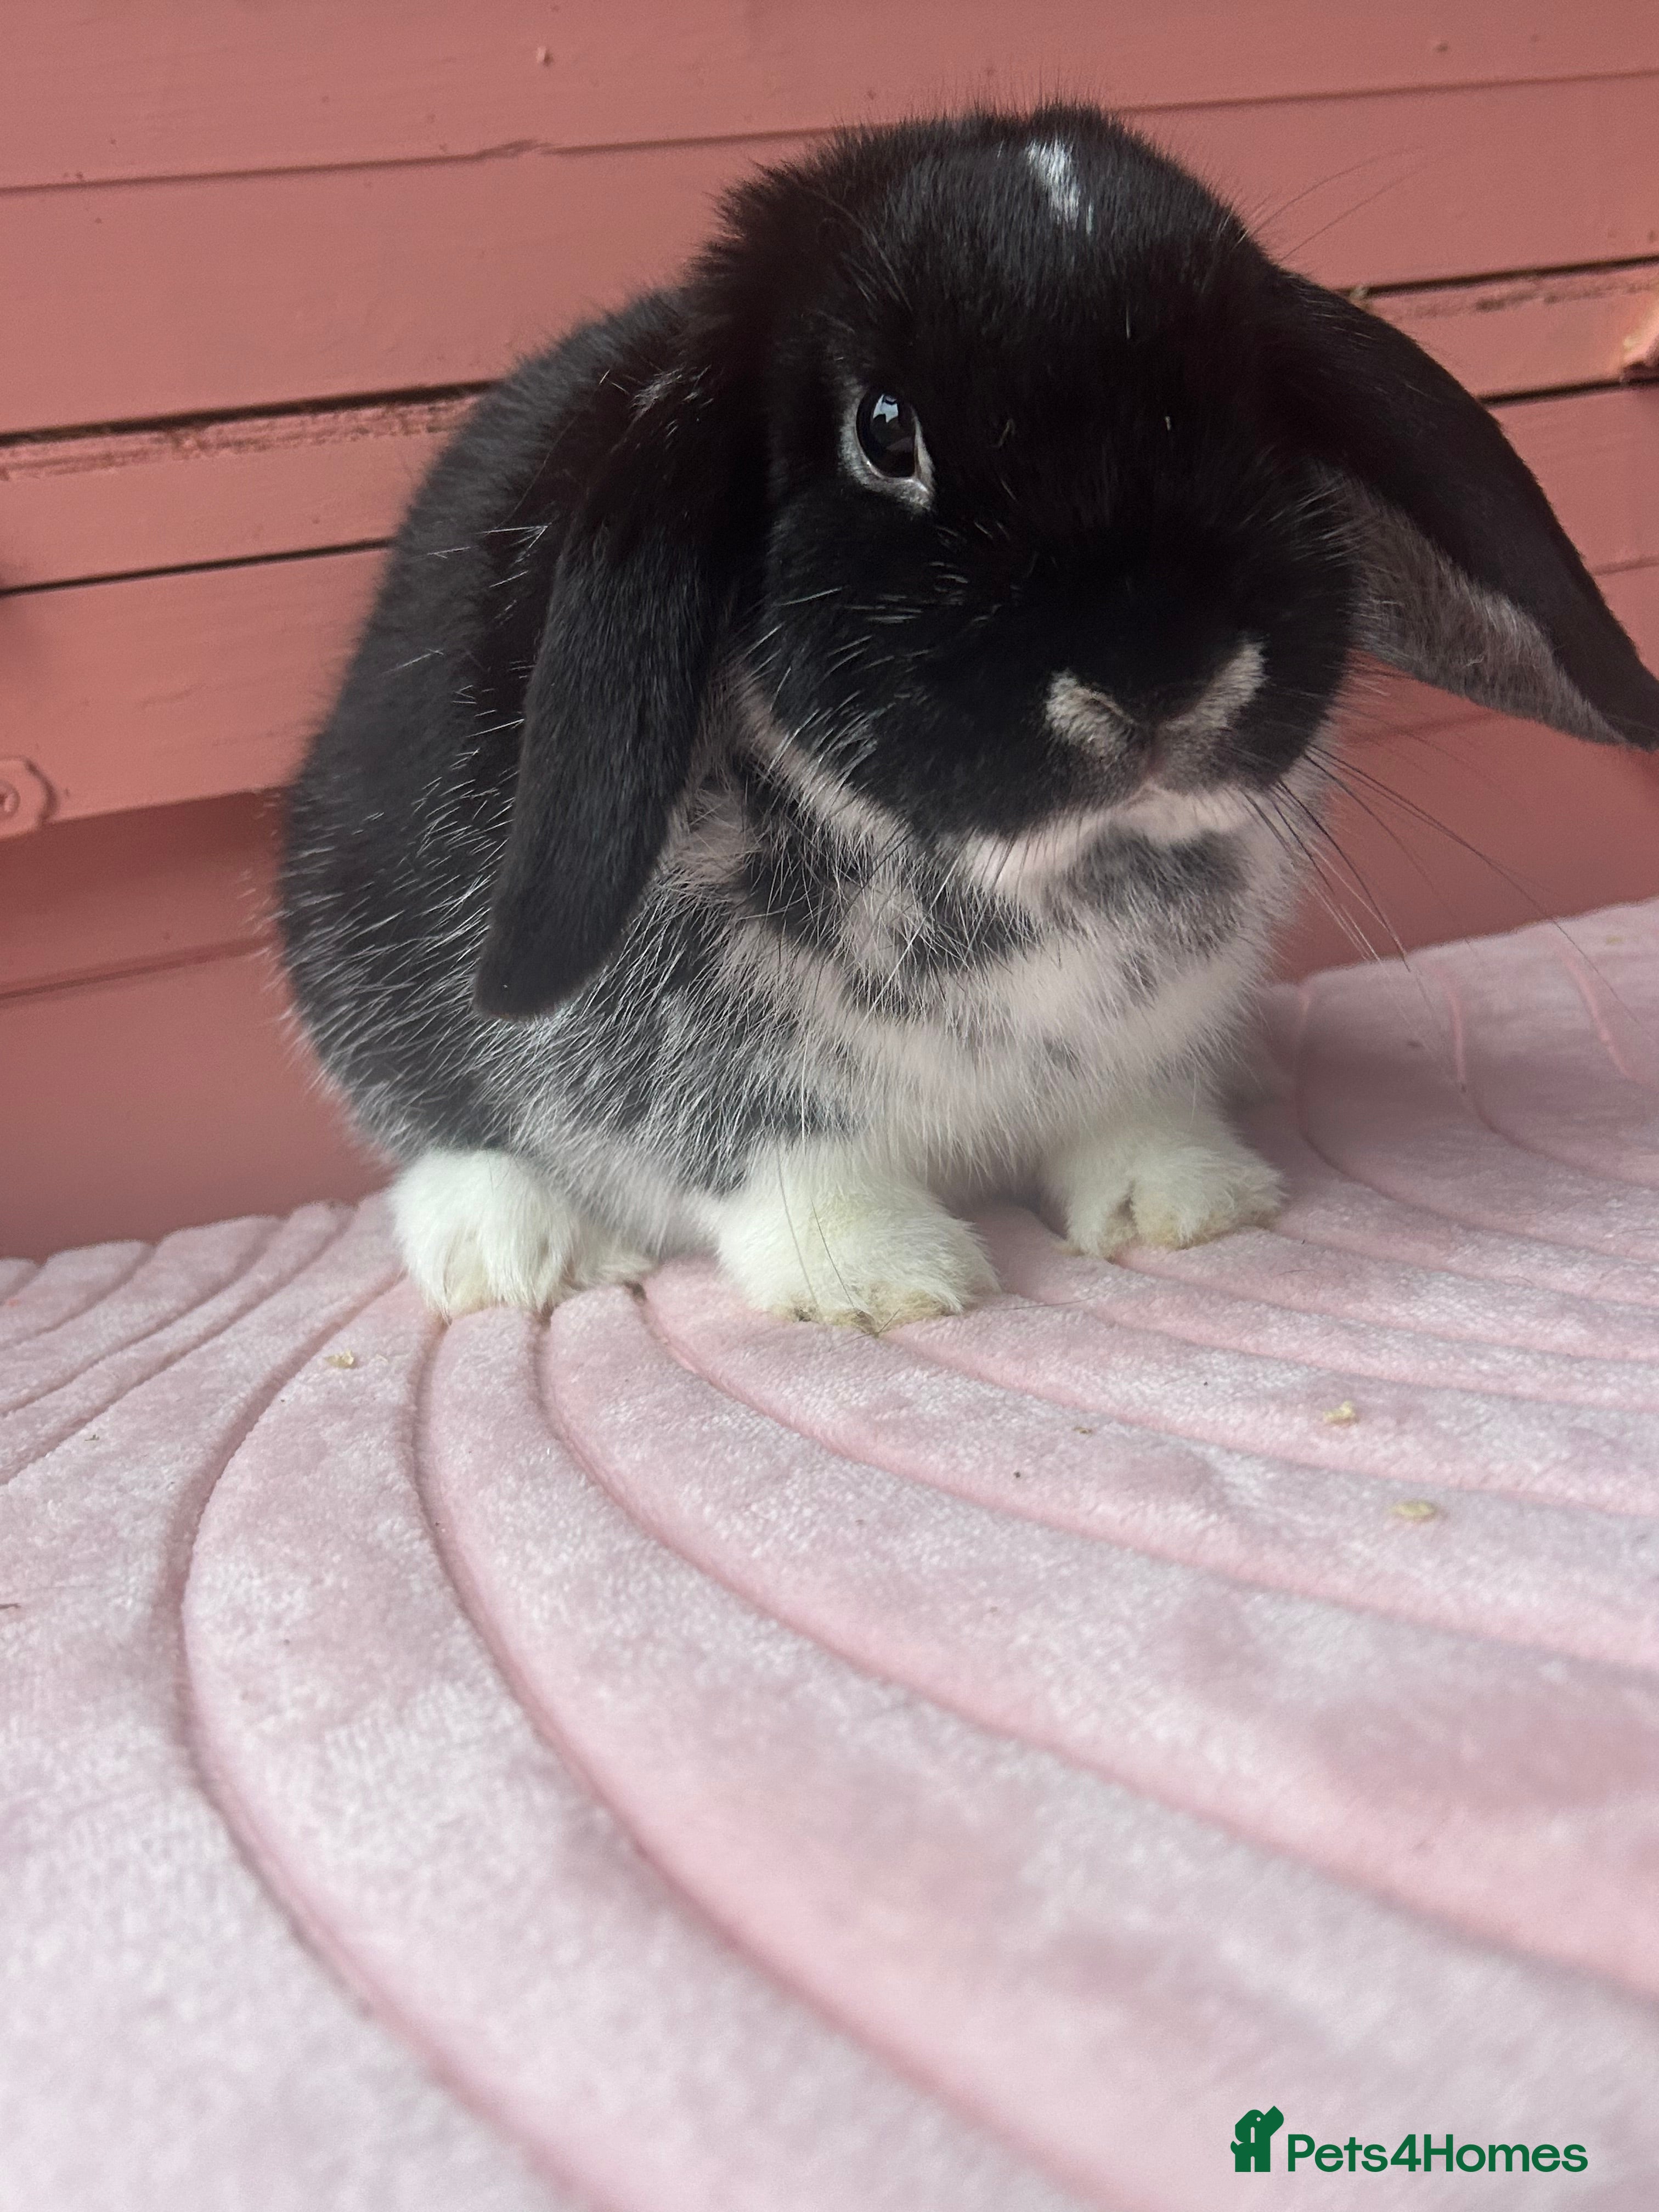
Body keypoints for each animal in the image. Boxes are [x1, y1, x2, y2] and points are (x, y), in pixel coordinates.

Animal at [279, 104, 1659, 1327]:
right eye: (885, 433)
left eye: (1258, 406)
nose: (1159, 678)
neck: (1034, 875)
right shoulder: (722, 1091)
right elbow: (785, 1164)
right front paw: (883, 1281)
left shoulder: (1137, 1048)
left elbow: (1134, 1120)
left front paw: (1189, 1203)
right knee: (434, 1125)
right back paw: (512, 1256)